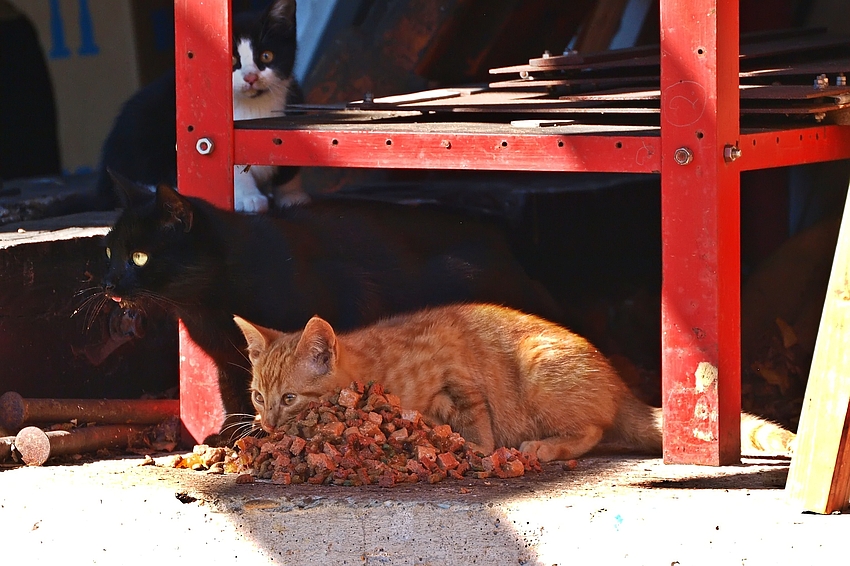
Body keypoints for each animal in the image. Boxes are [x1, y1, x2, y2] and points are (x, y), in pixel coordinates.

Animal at [95, 0, 304, 213]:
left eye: (266, 56)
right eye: (231, 60)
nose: (250, 77)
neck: (253, 105)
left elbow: (289, 160)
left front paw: (292, 195)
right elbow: (232, 168)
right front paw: (249, 197)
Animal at [97, 175, 564, 428]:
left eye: (139, 256)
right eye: (109, 251)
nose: (109, 282)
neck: (203, 303)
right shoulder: (228, 361)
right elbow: (235, 395)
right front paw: (229, 441)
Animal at [232, 306, 788, 462]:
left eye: (289, 398)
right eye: (258, 396)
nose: (266, 423)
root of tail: (620, 385)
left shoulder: (456, 378)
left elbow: (475, 422)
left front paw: (475, 450)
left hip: (540, 368)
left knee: (594, 431)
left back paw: (544, 446)